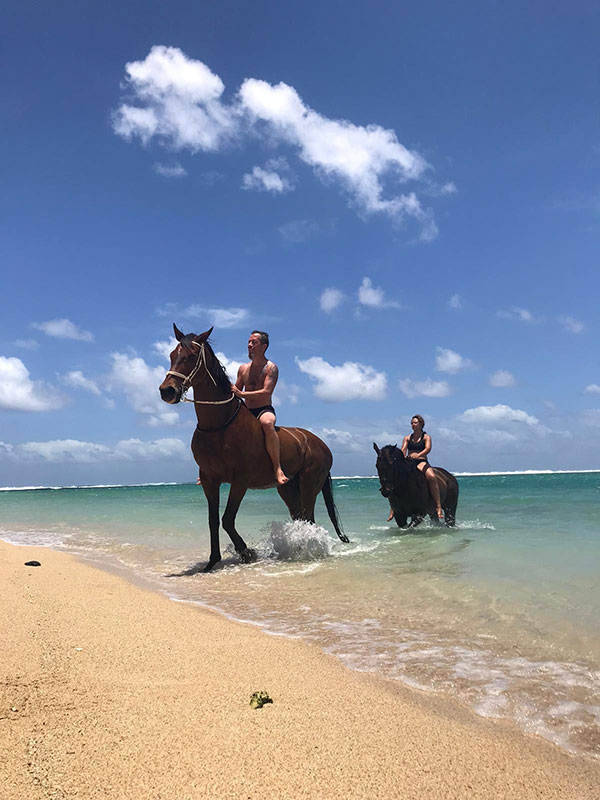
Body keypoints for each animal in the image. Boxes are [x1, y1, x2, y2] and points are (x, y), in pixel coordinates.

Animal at [159, 325, 349, 571]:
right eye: (172, 355)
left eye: (190, 356)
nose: (167, 391)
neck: (218, 425)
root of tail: (320, 443)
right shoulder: (209, 480)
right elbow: (213, 520)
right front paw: (213, 560)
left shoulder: (240, 480)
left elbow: (227, 519)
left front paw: (247, 552)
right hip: (289, 488)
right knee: (300, 517)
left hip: (310, 483)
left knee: (308, 518)